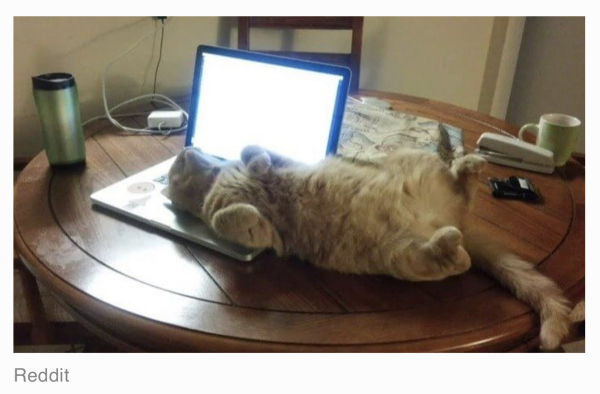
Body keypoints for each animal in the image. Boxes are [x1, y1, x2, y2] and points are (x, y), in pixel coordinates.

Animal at [163, 143, 572, 350]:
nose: (189, 147)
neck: (214, 179)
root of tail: (449, 223)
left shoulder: (283, 160)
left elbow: (255, 148)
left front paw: (257, 163)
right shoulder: (262, 234)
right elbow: (225, 219)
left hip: (413, 160)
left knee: (461, 189)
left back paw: (469, 165)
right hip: (402, 256)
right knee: (453, 261)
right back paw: (450, 242)